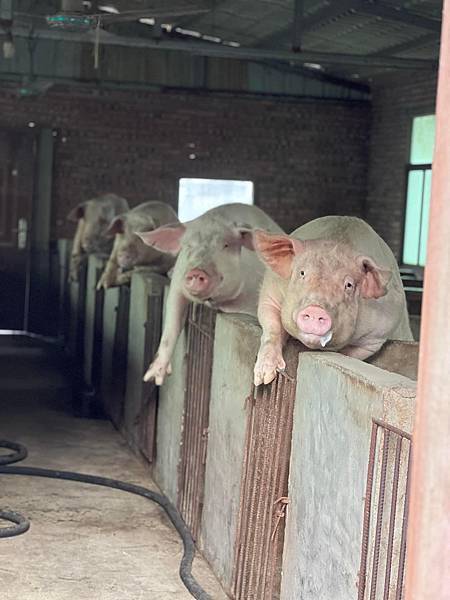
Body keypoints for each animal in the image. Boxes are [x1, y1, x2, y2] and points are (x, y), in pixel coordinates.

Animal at [139, 204, 284, 386]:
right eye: (188, 245)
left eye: (226, 245)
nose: (197, 271)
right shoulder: (178, 281)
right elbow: (172, 320)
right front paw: (152, 379)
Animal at [251, 216, 414, 384]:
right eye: (302, 273)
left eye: (348, 285)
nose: (316, 310)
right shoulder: (270, 293)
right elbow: (273, 328)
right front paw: (263, 378)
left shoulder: (376, 336)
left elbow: (349, 354)